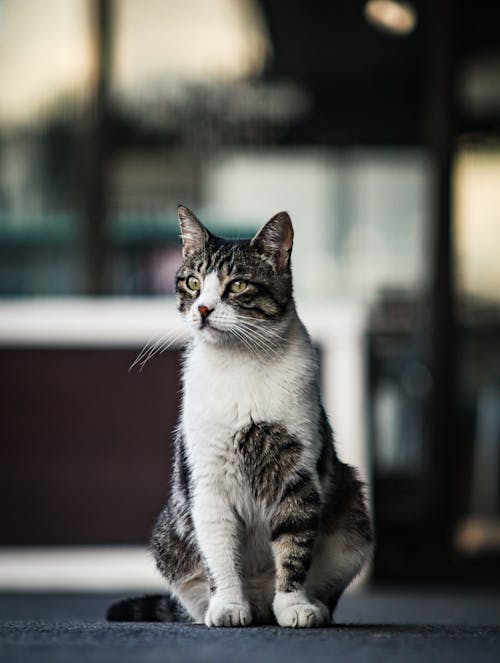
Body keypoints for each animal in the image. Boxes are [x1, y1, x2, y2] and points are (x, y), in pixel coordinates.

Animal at [107, 206, 374, 628]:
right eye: (193, 282)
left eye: (237, 286)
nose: (203, 308)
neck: (240, 363)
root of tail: (261, 603)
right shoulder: (207, 480)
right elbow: (219, 552)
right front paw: (229, 606)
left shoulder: (298, 475)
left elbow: (294, 546)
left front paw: (295, 605)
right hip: (168, 540)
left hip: (353, 517)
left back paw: (310, 607)